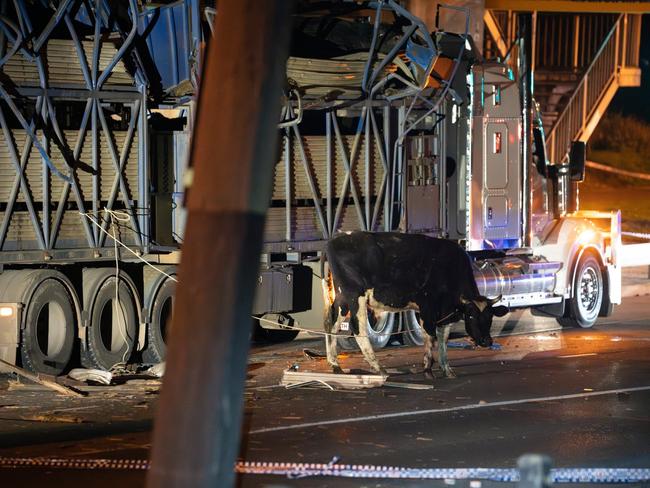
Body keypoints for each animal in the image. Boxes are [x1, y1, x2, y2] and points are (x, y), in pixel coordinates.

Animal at [322, 233, 506, 378]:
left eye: (490, 317)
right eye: (471, 316)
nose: (487, 341)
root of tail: (333, 241)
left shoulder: (445, 313)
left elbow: (444, 339)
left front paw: (447, 369)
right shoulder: (427, 306)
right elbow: (430, 337)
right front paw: (428, 369)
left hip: (341, 299)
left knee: (331, 324)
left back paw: (335, 364)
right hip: (355, 296)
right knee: (358, 329)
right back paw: (378, 368)